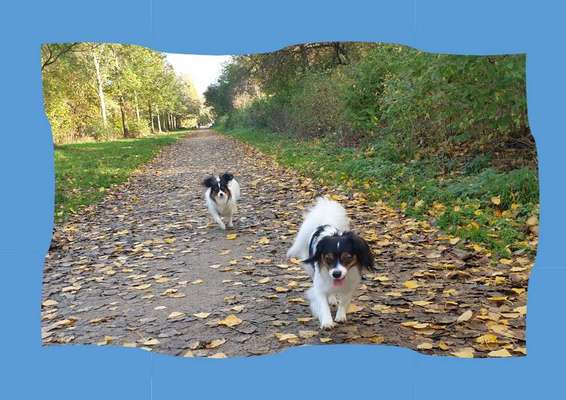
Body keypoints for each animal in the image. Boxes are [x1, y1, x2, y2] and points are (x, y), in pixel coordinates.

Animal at [288, 196, 378, 328]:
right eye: (328, 258)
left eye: (347, 257)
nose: (336, 274)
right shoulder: (319, 286)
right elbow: (323, 304)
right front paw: (327, 322)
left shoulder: (349, 285)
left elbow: (344, 301)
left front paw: (340, 316)